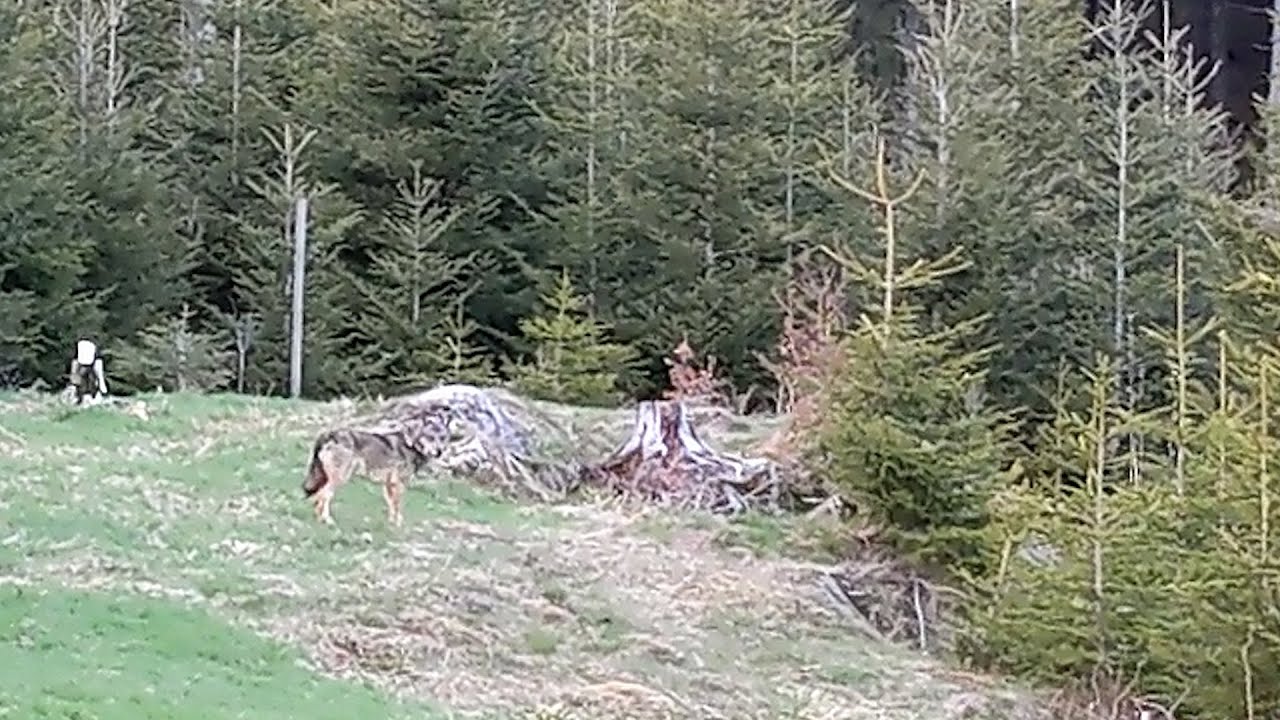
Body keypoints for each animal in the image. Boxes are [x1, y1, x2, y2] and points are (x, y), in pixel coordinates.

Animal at [302, 422, 437, 525]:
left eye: (438, 439)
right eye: (428, 438)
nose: (438, 451)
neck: (411, 447)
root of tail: (328, 434)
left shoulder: (388, 485)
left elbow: (391, 505)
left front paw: (391, 522)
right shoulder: (398, 484)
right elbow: (397, 505)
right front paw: (398, 523)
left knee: (317, 496)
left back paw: (319, 518)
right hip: (341, 478)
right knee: (323, 495)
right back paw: (327, 520)